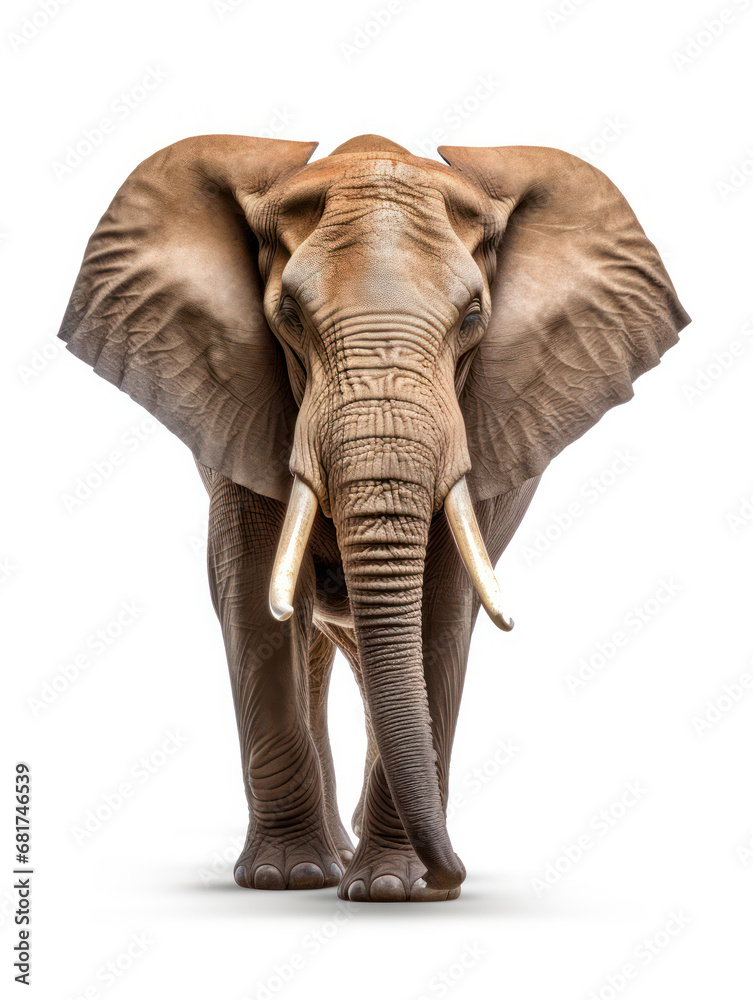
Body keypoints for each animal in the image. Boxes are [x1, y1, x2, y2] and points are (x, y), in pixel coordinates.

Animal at [58, 133, 689, 902]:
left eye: (472, 317)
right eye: (289, 317)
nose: (454, 875)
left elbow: (440, 613)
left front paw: (397, 889)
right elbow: (253, 601)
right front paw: (285, 878)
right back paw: (325, 857)